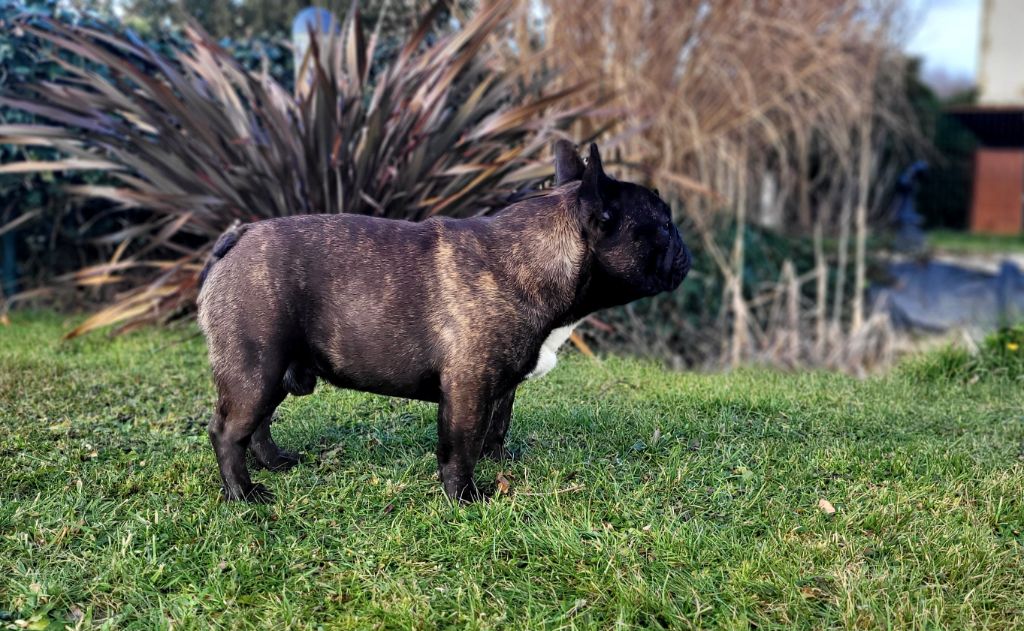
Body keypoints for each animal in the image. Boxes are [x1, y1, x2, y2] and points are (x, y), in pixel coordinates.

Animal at [193, 141, 688, 501]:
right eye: (664, 226)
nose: (684, 248)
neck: (536, 259)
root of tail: (239, 236)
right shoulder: (467, 387)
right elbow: (461, 445)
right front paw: (465, 495)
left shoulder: (499, 385)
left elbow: (496, 427)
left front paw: (498, 463)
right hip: (255, 368)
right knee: (227, 432)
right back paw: (244, 494)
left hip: (273, 372)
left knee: (258, 426)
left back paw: (273, 463)